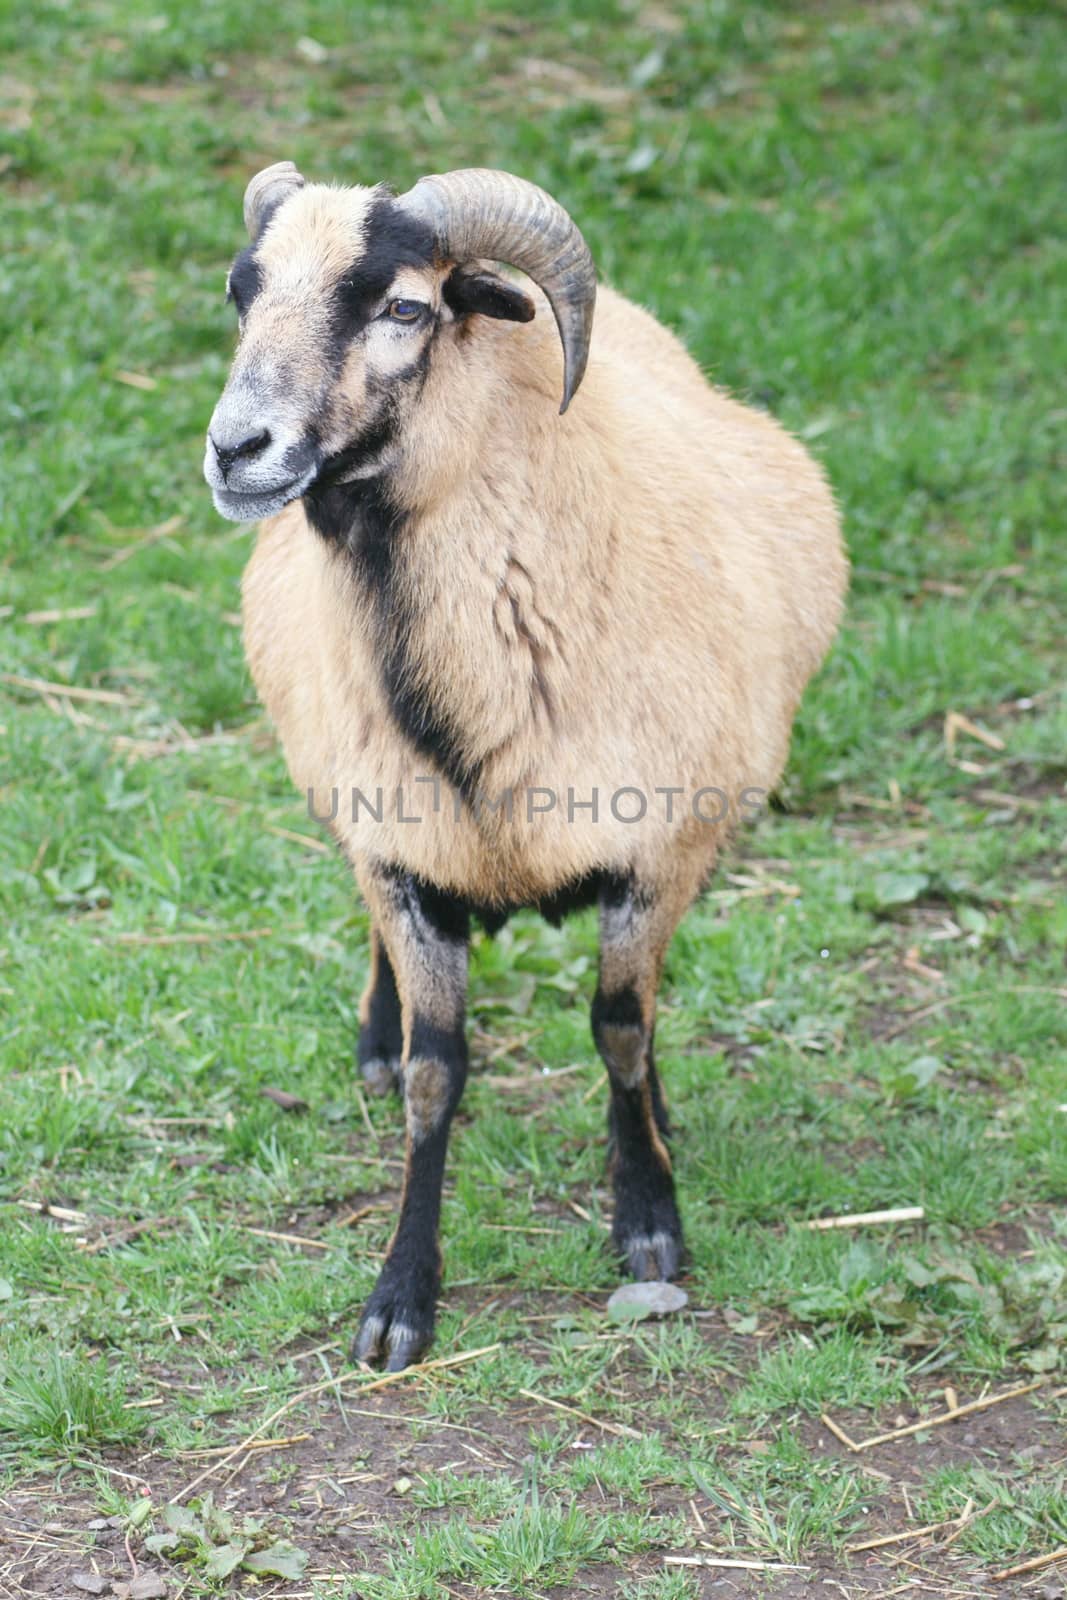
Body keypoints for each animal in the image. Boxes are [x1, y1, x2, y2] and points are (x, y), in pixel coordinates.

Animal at [204, 156, 844, 1369]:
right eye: (242, 294)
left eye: (405, 307)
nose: (235, 450)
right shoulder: (401, 856)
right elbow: (433, 1074)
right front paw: (399, 1298)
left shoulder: (656, 846)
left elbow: (620, 1029)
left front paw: (647, 1214)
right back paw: (374, 1037)